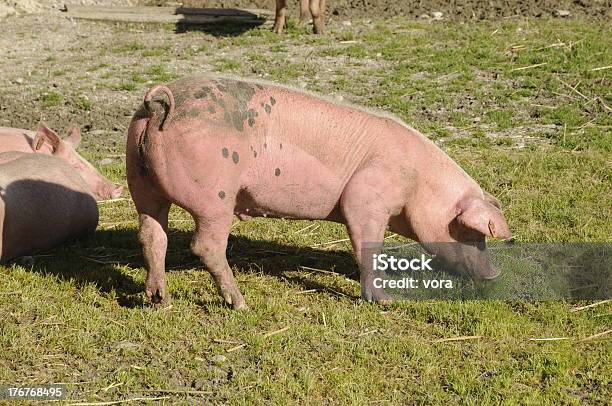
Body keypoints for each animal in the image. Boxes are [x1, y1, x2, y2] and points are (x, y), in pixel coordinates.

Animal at [129, 76, 512, 310]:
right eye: (471, 233)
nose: (495, 274)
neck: (417, 182)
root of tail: (161, 106)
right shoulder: (365, 198)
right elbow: (367, 246)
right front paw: (387, 300)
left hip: (140, 181)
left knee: (151, 234)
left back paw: (158, 299)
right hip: (215, 197)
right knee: (204, 246)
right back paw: (240, 302)